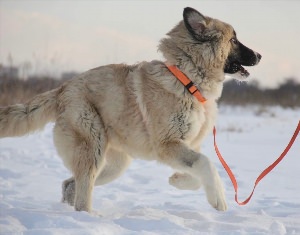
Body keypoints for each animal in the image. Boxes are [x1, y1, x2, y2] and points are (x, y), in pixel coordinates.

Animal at [0, 7, 260, 212]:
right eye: (233, 40)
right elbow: (207, 164)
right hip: (92, 148)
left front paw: (177, 180)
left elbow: (199, 169)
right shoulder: (167, 145)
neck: (187, 79)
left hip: (114, 164)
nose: (259, 55)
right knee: (81, 195)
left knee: (69, 186)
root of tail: (63, 89)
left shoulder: (187, 146)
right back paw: (90, 218)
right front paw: (219, 200)